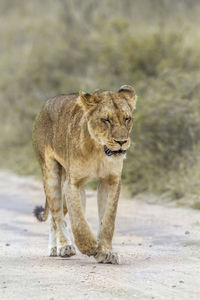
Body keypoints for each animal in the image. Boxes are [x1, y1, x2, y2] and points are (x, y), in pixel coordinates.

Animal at [32, 85, 136, 264]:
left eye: (127, 118)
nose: (121, 142)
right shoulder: (74, 183)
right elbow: (78, 221)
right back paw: (63, 247)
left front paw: (106, 252)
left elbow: (108, 221)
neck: (99, 151)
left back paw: (58, 247)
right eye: (106, 120)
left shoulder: (111, 181)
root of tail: (45, 105)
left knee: (55, 216)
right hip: (52, 175)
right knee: (57, 215)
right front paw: (90, 247)